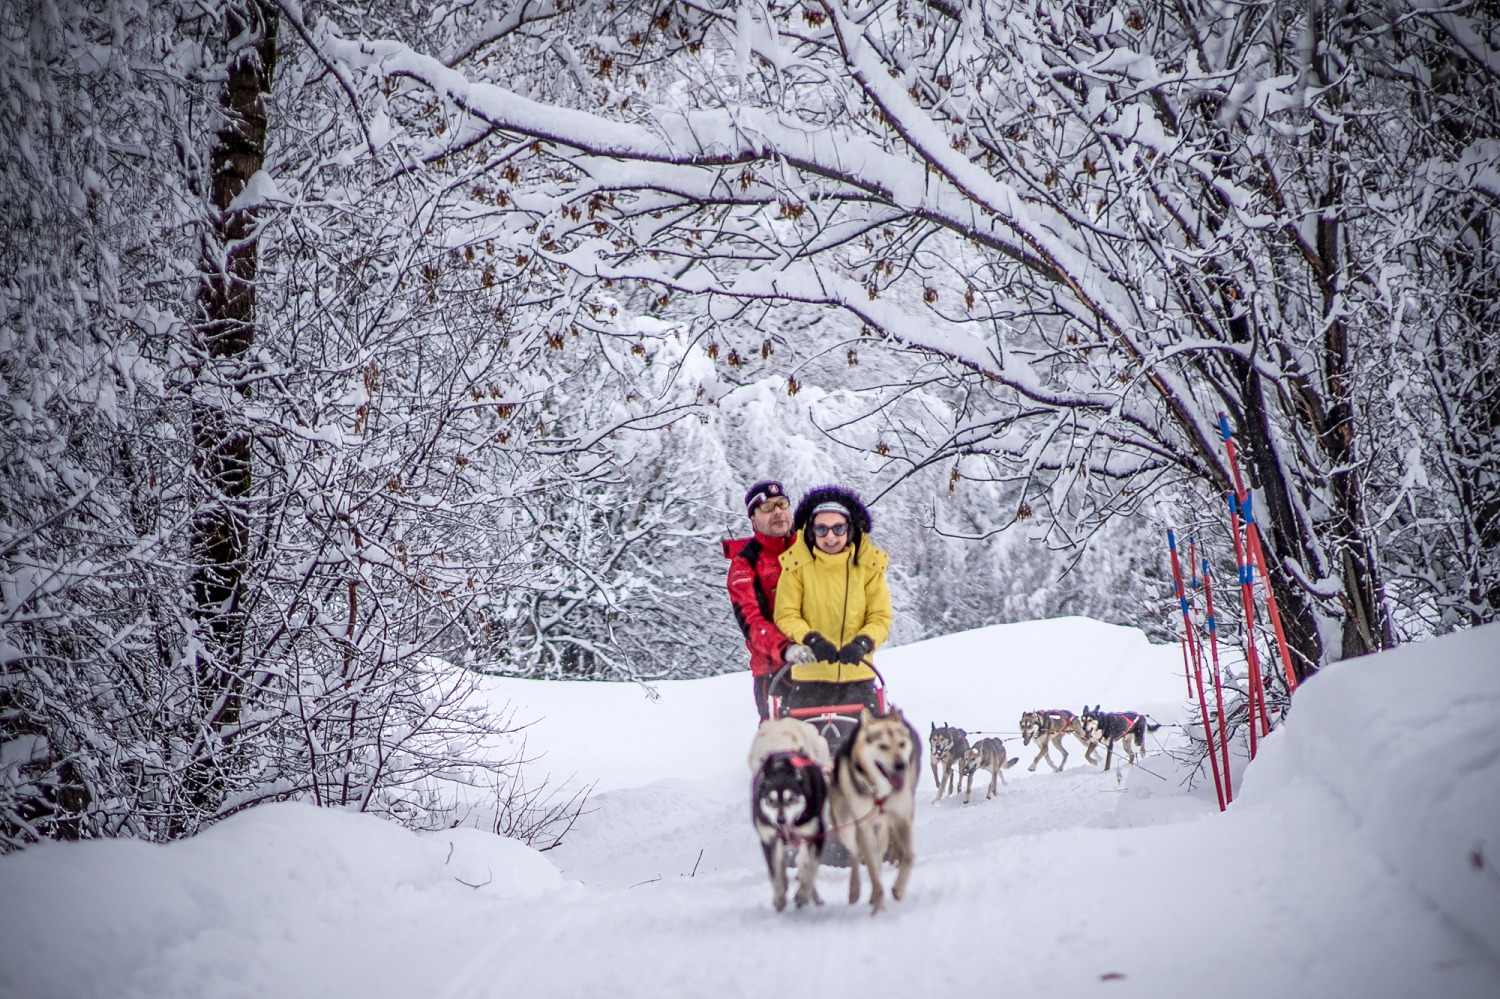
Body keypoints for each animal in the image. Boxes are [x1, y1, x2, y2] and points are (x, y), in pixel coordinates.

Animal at [828, 699, 918, 912]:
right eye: (883, 746)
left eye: (902, 744)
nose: (901, 765)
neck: (880, 791)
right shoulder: (864, 827)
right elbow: (872, 874)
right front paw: (878, 906)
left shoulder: (902, 818)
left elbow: (909, 856)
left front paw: (898, 889)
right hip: (846, 827)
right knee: (855, 854)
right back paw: (855, 890)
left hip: (883, 830)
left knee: (877, 856)